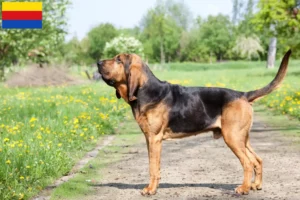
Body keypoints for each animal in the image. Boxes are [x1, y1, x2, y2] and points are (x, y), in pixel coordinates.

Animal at [97, 50, 292, 195]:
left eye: (118, 59)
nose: (98, 62)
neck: (145, 90)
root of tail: (243, 94)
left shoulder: (154, 139)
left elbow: (153, 167)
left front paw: (150, 190)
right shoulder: (149, 139)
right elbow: (155, 166)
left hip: (233, 138)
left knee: (247, 163)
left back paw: (243, 188)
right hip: (242, 138)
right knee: (257, 160)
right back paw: (256, 185)